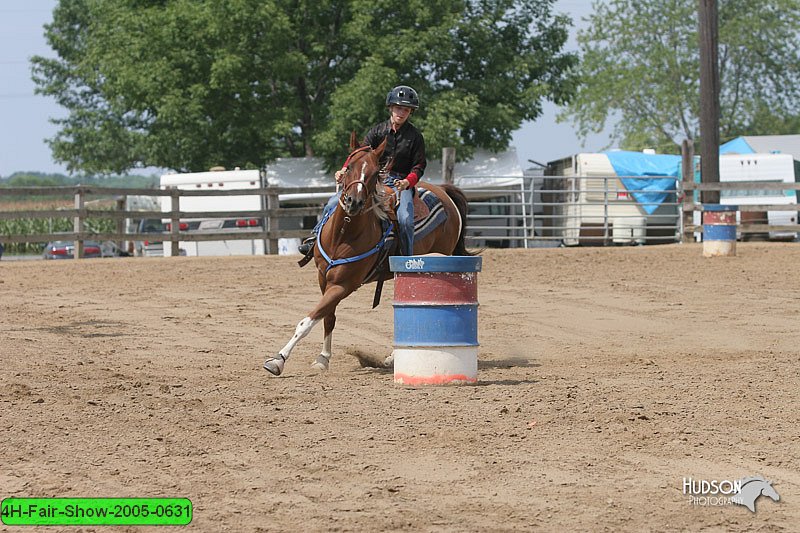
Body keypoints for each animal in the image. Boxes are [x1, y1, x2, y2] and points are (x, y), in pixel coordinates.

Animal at [262, 132, 476, 374]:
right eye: (349, 167)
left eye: (375, 173)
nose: (353, 202)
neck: (343, 235)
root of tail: (444, 192)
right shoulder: (324, 278)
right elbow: (328, 317)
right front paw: (323, 358)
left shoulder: (344, 285)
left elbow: (308, 321)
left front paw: (278, 359)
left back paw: (393, 357)